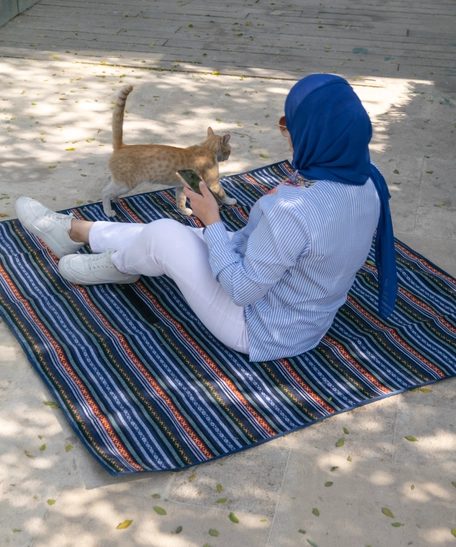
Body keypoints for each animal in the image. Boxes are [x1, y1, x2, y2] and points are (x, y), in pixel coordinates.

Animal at [100, 84, 235, 217]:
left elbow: (180, 201)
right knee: (105, 193)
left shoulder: (181, 186)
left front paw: (184, 212)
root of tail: (122, 146)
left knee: (109, 181)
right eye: (229, 151)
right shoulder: (213, 183)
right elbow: (222, 193)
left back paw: (116, 199)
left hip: (119, 182)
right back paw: (108, 211)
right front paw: (230, 201)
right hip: (125, 184)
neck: (207, 147)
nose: (228, 157)